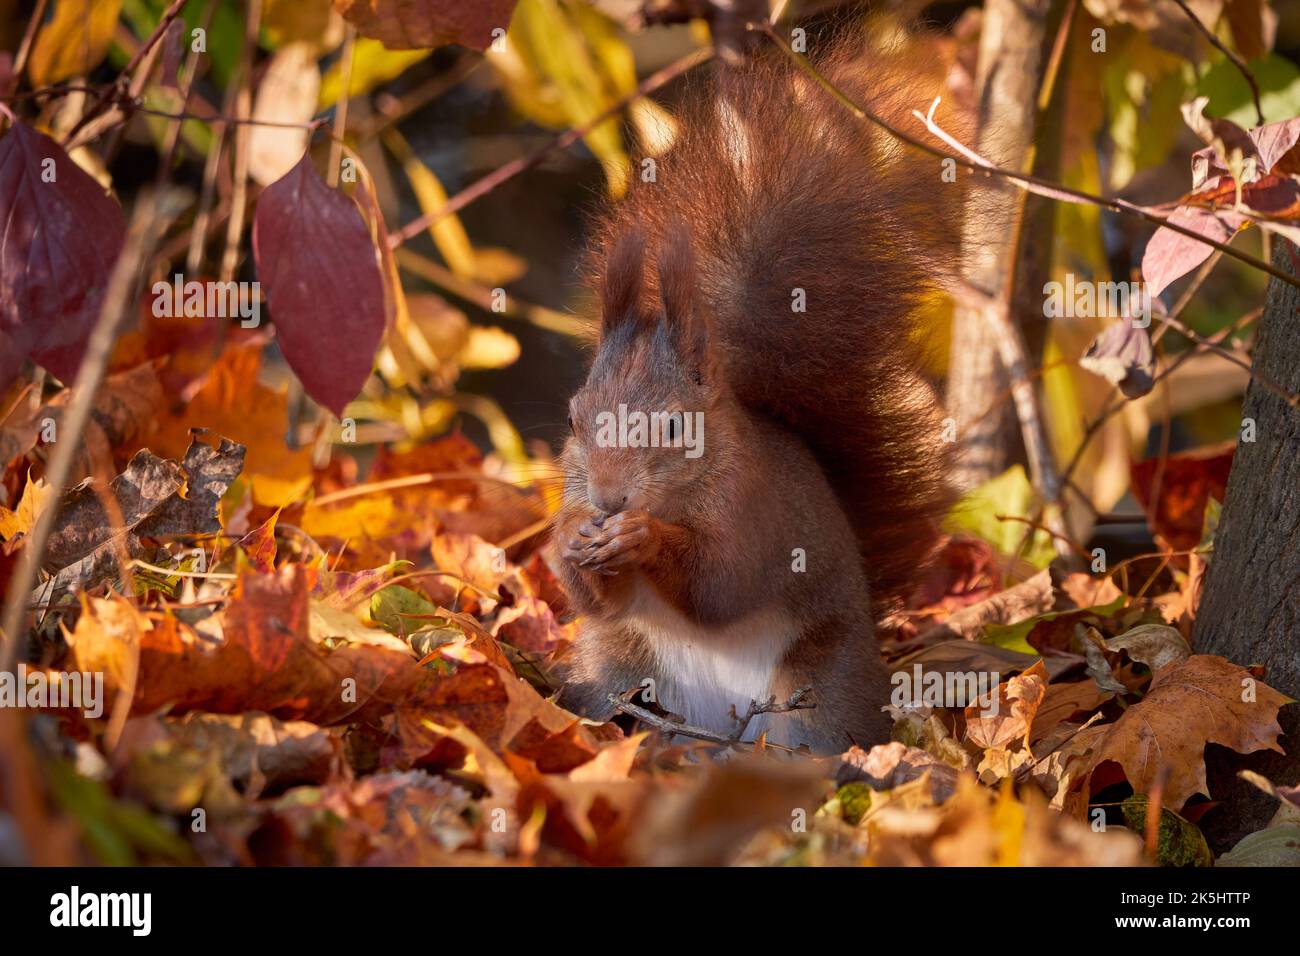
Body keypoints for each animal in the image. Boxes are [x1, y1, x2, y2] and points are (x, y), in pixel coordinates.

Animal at [546, 39, 959, 753]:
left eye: (677, 429)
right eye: (574, 419)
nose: (608, 499)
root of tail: (715, 734)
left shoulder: (756, 511)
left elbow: (722, 583)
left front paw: (643, 535)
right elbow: (594, 599)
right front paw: (574, 536)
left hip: (817, 692)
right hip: (617, 667)